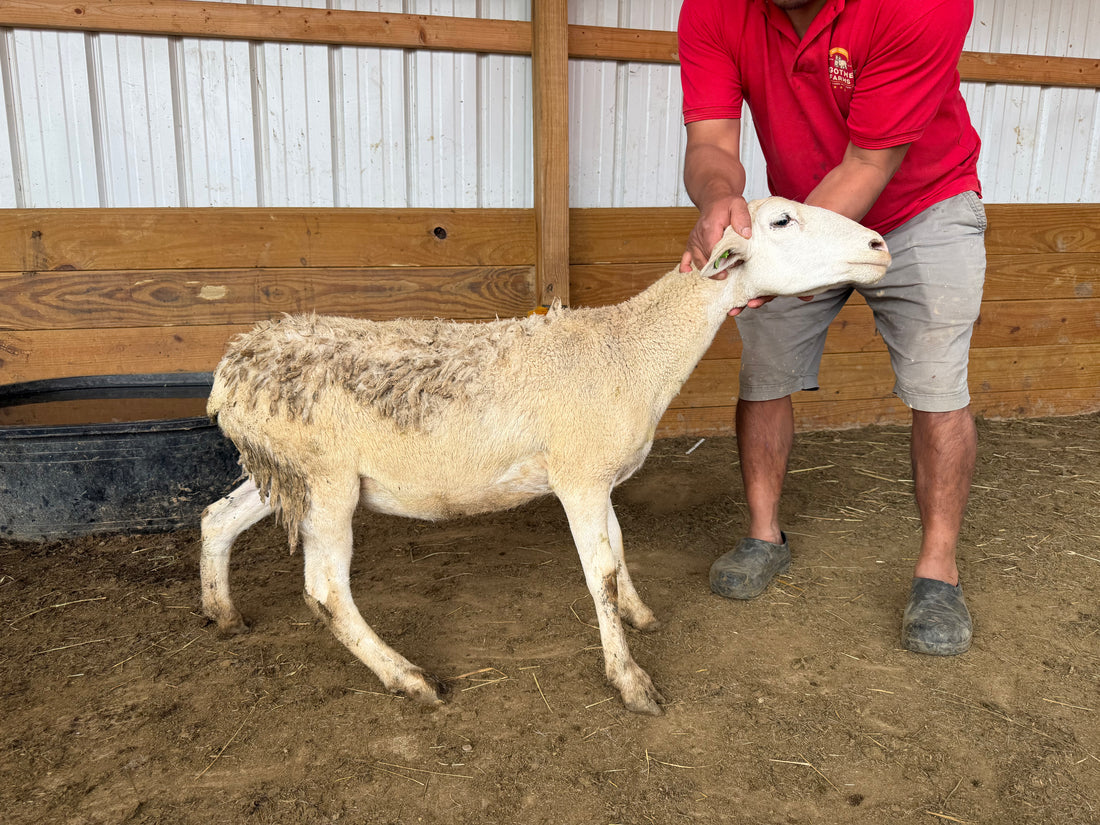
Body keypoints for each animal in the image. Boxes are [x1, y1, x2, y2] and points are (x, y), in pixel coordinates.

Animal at [200, 197, 891, 715]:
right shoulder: (579, 474)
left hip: (282, 473)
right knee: (325, 591)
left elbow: (619, 549)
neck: (629, 348)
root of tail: (231, 368)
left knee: (216, 518)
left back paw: (222, 615)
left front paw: (640, 615)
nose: (881, 245)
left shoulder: (599, 476)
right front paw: (630, 680)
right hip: (326, 479)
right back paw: (410, 678)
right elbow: (600, 573)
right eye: (782, 221)